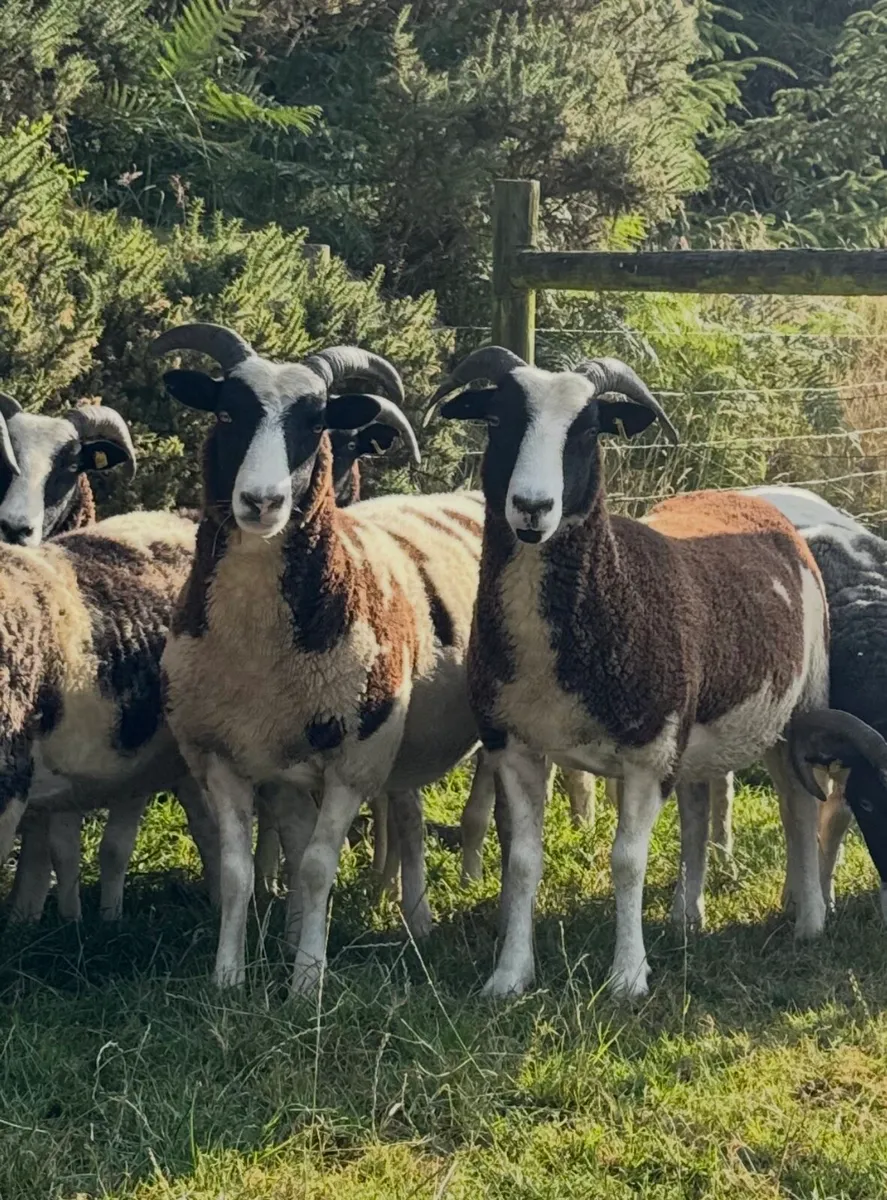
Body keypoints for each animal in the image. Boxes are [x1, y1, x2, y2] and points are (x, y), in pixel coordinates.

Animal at [152, 322, 489, 993]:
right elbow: (240, 873)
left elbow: (314, 868)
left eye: (314, 423)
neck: (259, 650)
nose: (261, 502)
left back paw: (426, 915)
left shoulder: (353, 760)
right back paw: (407, 917)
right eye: (227, 411)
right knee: (406, 813)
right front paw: (229, 977)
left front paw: (308, 980)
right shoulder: (224, 757)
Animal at [427, 345, 887, 999]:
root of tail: (742, 496)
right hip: (698, 734)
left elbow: (626, 861)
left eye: (589, 430)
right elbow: (522, 861)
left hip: (797, 710)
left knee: (798, 804)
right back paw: (686, 916)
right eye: (497, 420)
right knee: (698, 808)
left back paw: (808, 917)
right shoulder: (515, 745)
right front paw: (510, 976)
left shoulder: (649, 754)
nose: (532, 508)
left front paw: (627, 976)